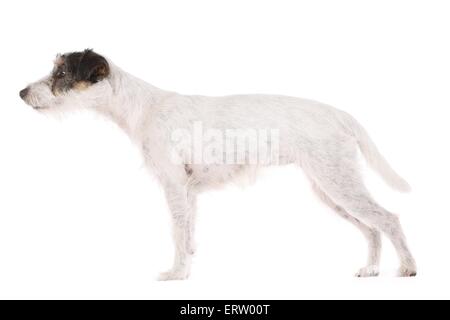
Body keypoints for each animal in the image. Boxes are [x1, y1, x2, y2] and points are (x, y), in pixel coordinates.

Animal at [19, 49, 416, 280]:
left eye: (60, 75)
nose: (21, 93)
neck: (141, 107)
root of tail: (341, 114)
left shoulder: (174, 186)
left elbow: (177, 234)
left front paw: (177, 273)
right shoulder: (188, 192)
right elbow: (188, 232)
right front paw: (189, 262)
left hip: (339, 184)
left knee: (389, 219)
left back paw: (408, 267)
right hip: (331, 190)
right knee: (372, 229)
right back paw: (372, 269)